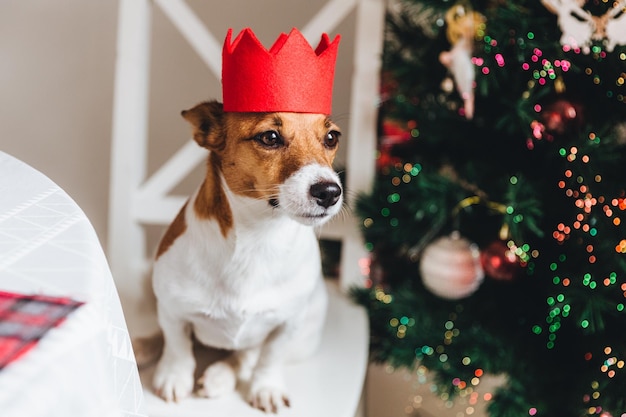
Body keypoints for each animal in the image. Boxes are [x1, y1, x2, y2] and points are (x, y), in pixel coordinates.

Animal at [144, 99, 344, 412]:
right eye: (270, 137)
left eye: (332, 137)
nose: (330, 192)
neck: (257, 236)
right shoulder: (172, 309)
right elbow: (177, 346)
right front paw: (174, 377)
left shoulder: (288, 325)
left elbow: (268, 357)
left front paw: (266, 387)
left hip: (305, 338)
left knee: (246, 355)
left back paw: (219, 376)